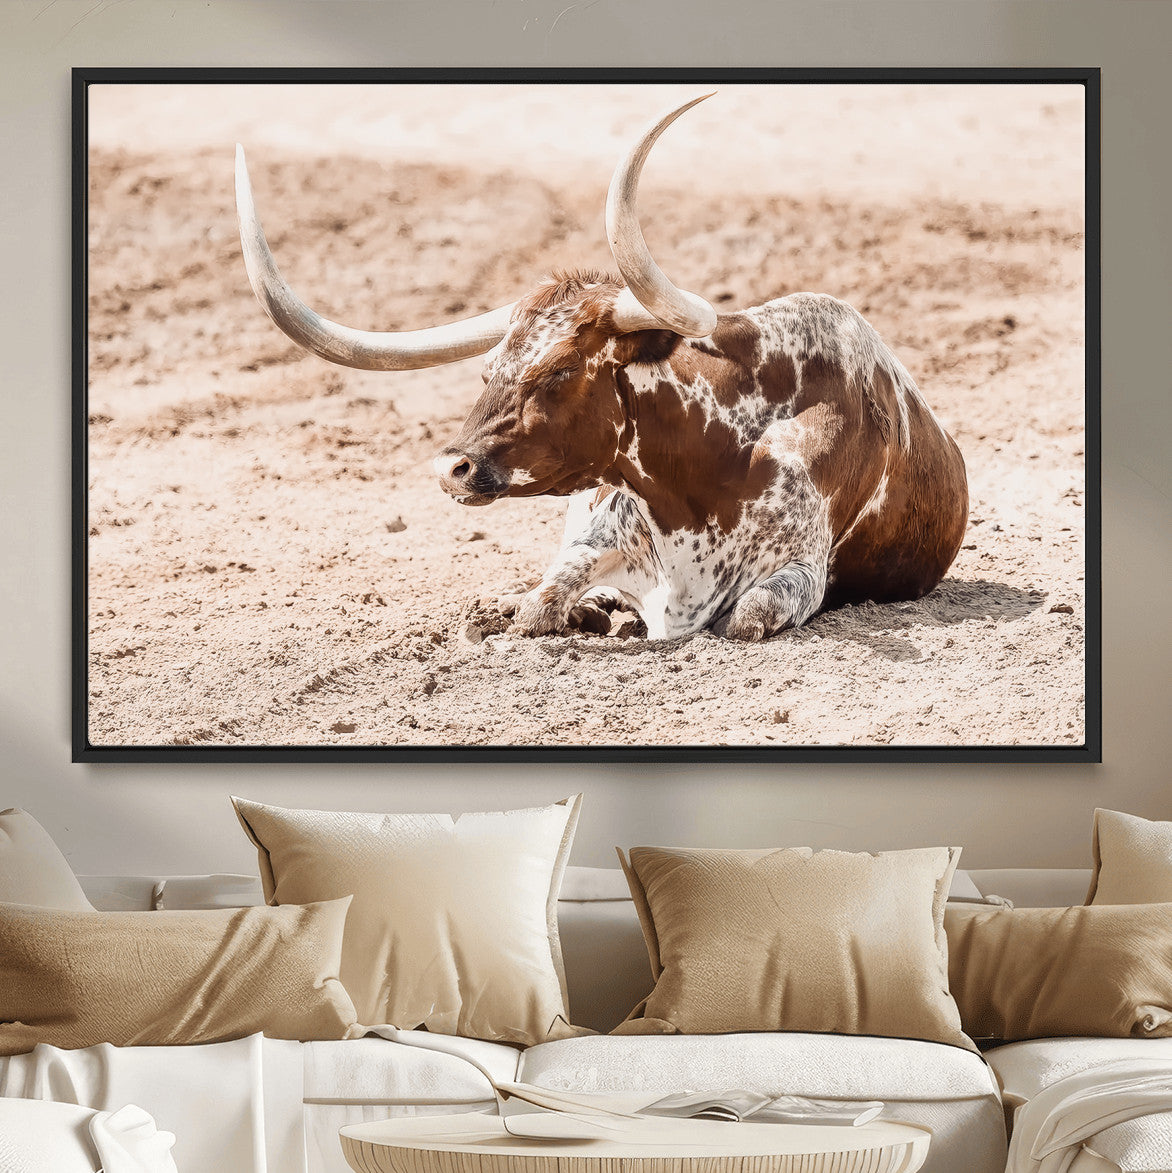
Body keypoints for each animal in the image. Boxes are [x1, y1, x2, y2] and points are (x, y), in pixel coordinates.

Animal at [235, 94, 968, 641]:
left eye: (559, 372)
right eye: (488, 370)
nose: (453, 468)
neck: (707, 471)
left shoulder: (799, 572)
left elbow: (744, 616)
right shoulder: (594, 533)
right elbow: (538, 603)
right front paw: (560, 611)